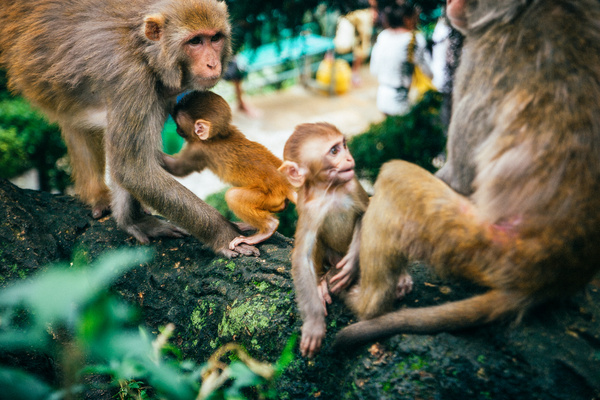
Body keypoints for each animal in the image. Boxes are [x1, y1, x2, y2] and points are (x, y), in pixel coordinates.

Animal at [0, 0, 258, 256]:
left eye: (215, 38)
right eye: (195, 41)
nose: (212, 64)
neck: (145, 53)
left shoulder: (160, 92)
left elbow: (130, 166)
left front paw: (132, 219)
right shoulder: (132, 81)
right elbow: (133, 169)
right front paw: (226, 235)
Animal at [163, 92, 296, 252]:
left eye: (178, 124)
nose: (177, 130)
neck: (218, 136)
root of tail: (286, 184)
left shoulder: (199, 150)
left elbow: (177, 168)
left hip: (271, 196)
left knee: (232, 196)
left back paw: (267, 228)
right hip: (276, 202)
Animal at [278, 122, 370, 360]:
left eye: (344, 145)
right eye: (334, 151)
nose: (348, 158)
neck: (330, 190)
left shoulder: (353, 184)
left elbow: (366, 215)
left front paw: (352, 263)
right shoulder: (309, 209)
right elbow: (302, 257)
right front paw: (314, 324)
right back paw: (321, 280)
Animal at [332, 0, 600, 350]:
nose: (450, 4)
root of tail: (550, 278)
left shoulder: (482, 55)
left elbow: (458, 174)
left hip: (482, 247)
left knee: (395, 176)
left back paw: (367, 305)